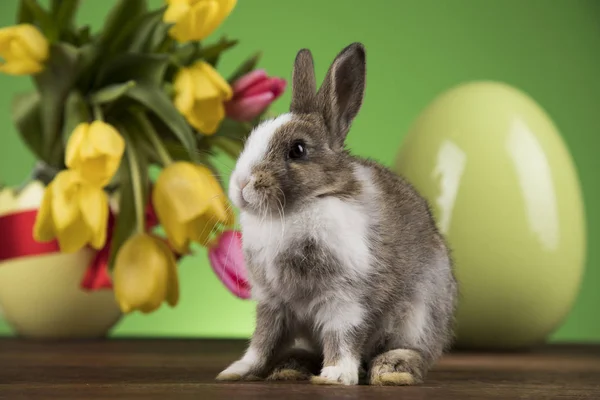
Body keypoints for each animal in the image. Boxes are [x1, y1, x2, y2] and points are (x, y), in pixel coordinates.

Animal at [218, 42, 458, 386]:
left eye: (298, 149)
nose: (240, 184)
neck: (298, 208)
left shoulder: (345, 297)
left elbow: (342, 336)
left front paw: (334, 375)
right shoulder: (272, 302)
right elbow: (262, 341)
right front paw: (237, 371)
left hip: (418, 317)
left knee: (413, 352)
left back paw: (391, 372)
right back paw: (289, 369)